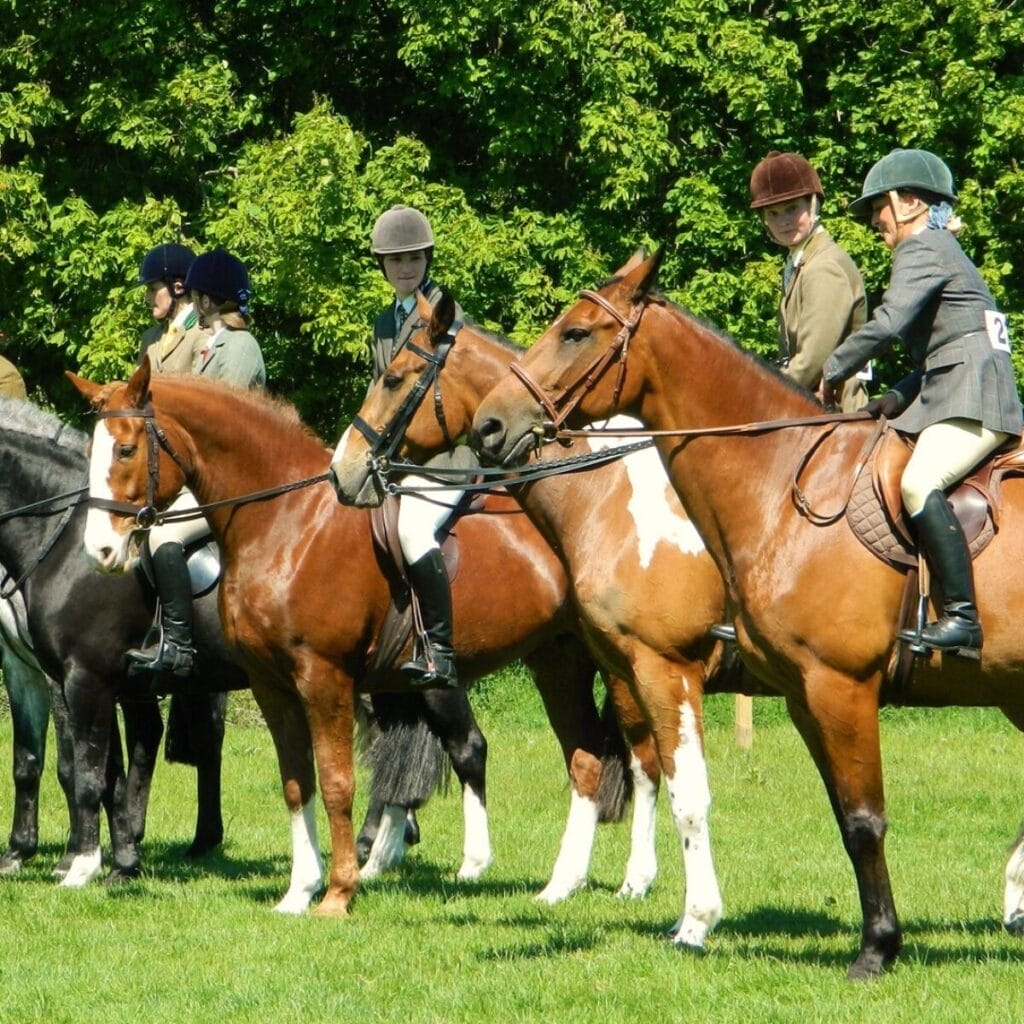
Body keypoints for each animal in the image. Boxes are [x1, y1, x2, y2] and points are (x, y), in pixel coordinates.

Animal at [0, 395, 241, 884]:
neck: (63, 544)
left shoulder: (81, 680)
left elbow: (84, 773)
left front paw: (79, 865)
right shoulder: (61, 676)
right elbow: (95, 771)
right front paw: (120, 861)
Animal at [74, 364, 638, 917]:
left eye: (126, 449)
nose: (100, 550)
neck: (289, 521)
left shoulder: (325, 679)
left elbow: (337, 782)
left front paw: (339, 892)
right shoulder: (270, 685)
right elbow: (297, 782)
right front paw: (299, 892)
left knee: (638, 757)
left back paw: (633, 882)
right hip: (556, 660)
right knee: (586, 759)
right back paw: (562, 885)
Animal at [473, 247, 1024, 974]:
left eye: (576, 333)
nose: (489, 425)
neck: (782, 483)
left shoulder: (831, 688)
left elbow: (860, 820)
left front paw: (873, 948)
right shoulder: (799, 695)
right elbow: (836, 817)